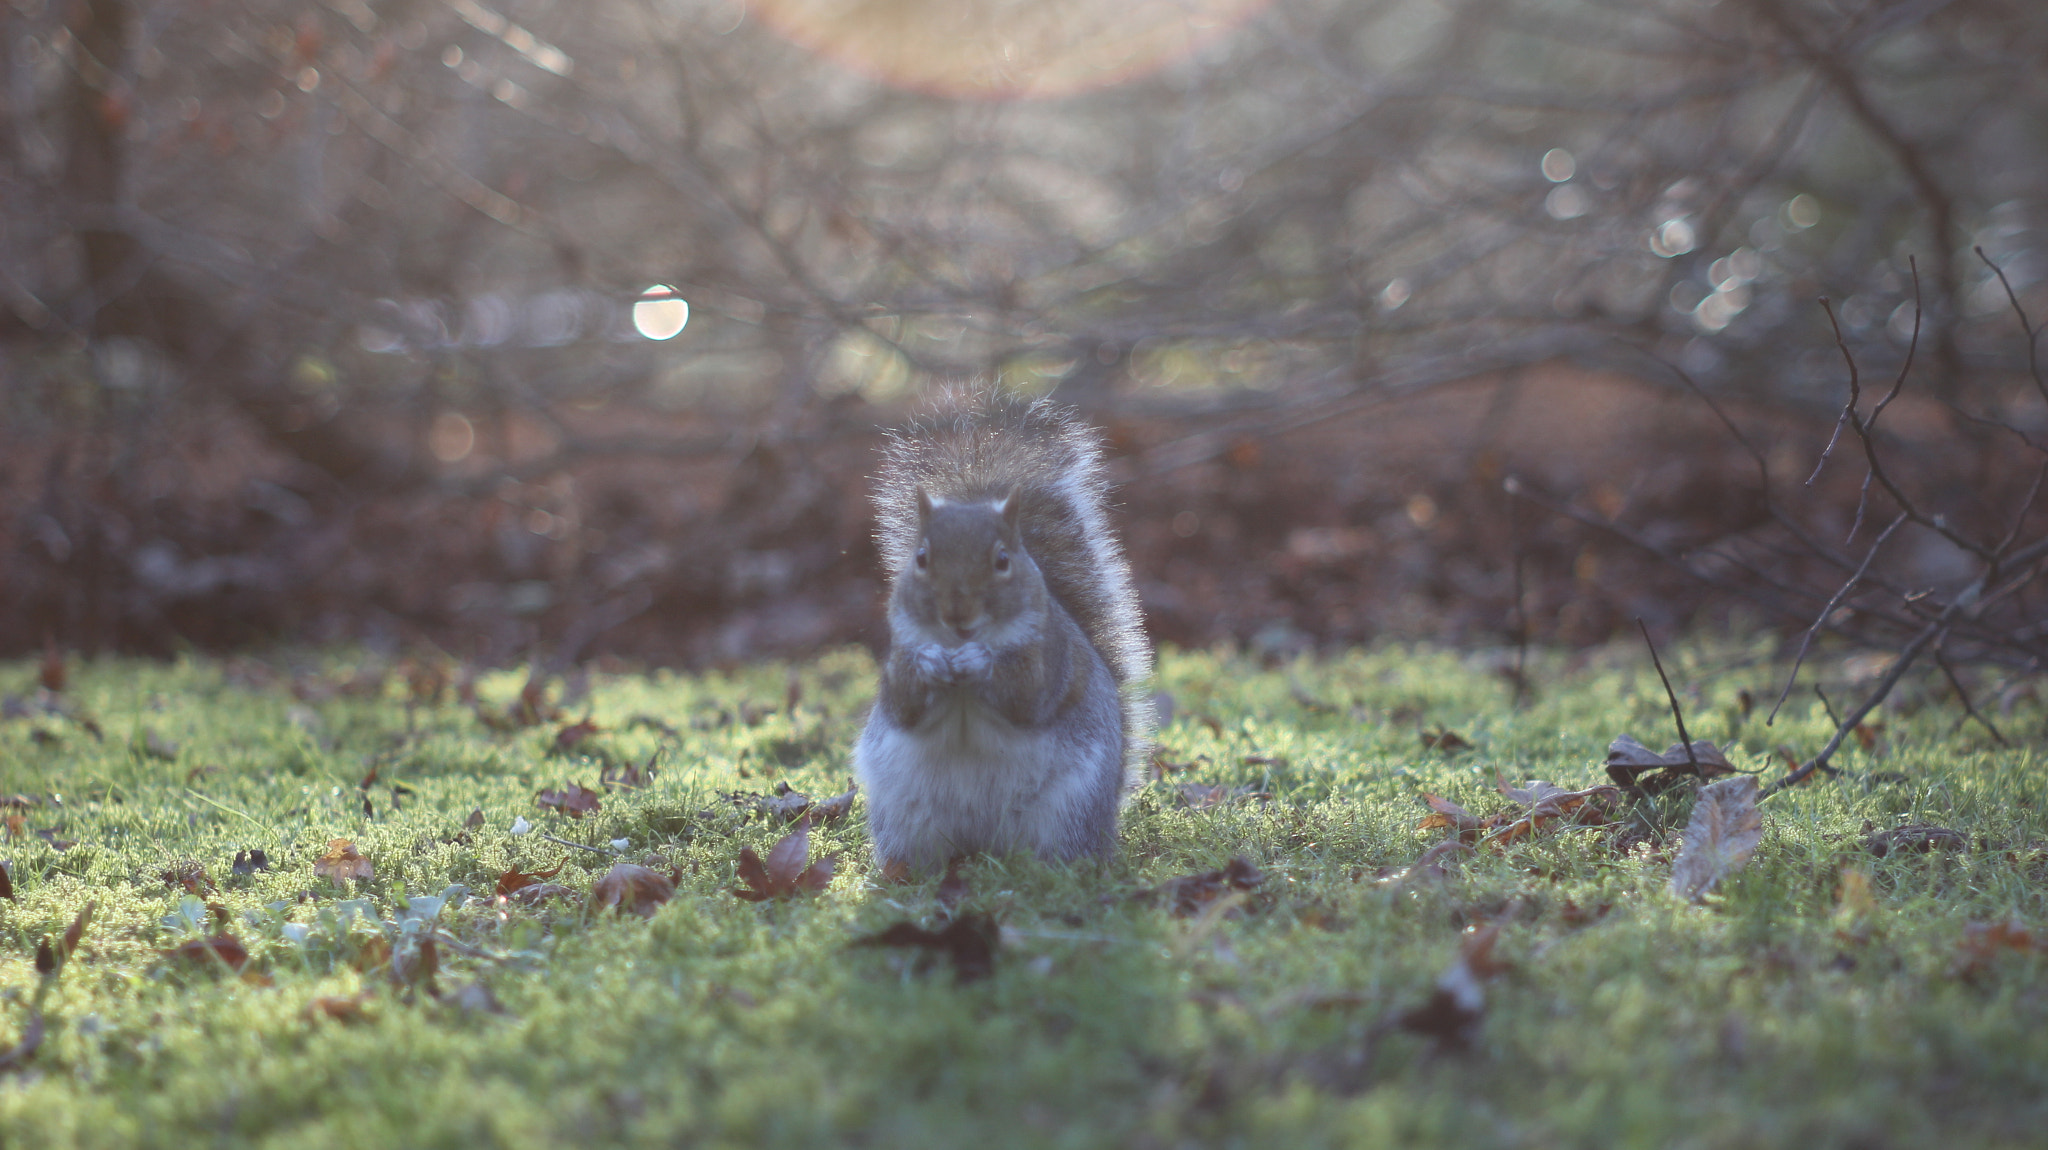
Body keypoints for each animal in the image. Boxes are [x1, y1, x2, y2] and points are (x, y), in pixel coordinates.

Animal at [852, 395, 1153, 874]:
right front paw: (931, 664)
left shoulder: (1049, 658)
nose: (957, 613)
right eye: (921, 558)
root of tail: (982, 843)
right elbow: (903, 704)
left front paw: (981, 663)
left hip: (1066, 810)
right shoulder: (898, 657)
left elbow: (1024, 696)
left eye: (1002, 560)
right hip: (904, 816)